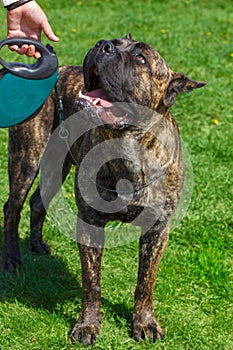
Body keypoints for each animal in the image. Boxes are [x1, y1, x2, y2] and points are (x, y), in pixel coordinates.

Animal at [1, 34, 206, 346]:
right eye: (116, 41)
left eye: (141, 58)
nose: (103, 45)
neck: (128, 144)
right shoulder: (90, 223)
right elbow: (91, 281)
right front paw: (87, 325)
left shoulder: (157, 230)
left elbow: (145, 283)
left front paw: (144, 323)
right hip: (28, 157)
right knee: (12, 208)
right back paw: (12, 260)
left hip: (56, 164)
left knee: (38, 201)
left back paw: (37, 244)